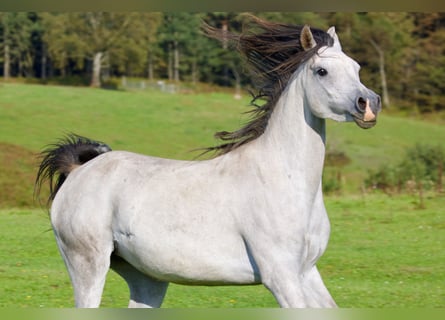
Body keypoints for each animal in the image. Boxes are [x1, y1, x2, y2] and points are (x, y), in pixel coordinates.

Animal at [36, 17, 380, 308]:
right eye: (322, 71)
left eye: (356, 67)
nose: (369, 104)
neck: (285, 179)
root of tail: (78, 170)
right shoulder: (281, 276)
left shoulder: (307, 272)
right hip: (89, 264)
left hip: (147, 278)